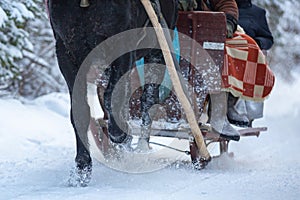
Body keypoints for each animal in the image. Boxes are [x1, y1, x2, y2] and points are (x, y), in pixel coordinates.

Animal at [47, 0, 178, 185]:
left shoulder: (121, 45)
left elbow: (112, 96)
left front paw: (118, 134)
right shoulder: (67, 52)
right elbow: (80, 109)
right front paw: (82, 169)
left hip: (156, 47)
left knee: (148, 98)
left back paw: (141, 146)